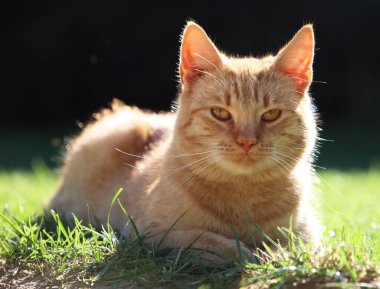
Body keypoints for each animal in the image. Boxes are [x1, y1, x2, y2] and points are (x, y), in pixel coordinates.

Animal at [48, 22, 320, 260]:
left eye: (271, 115)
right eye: (220, 113)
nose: (246, 141)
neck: (243, 196)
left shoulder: (309, 235)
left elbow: (288, 245)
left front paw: (272, 254)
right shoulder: (148, 233)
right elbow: (211, 241)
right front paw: (247, 253)